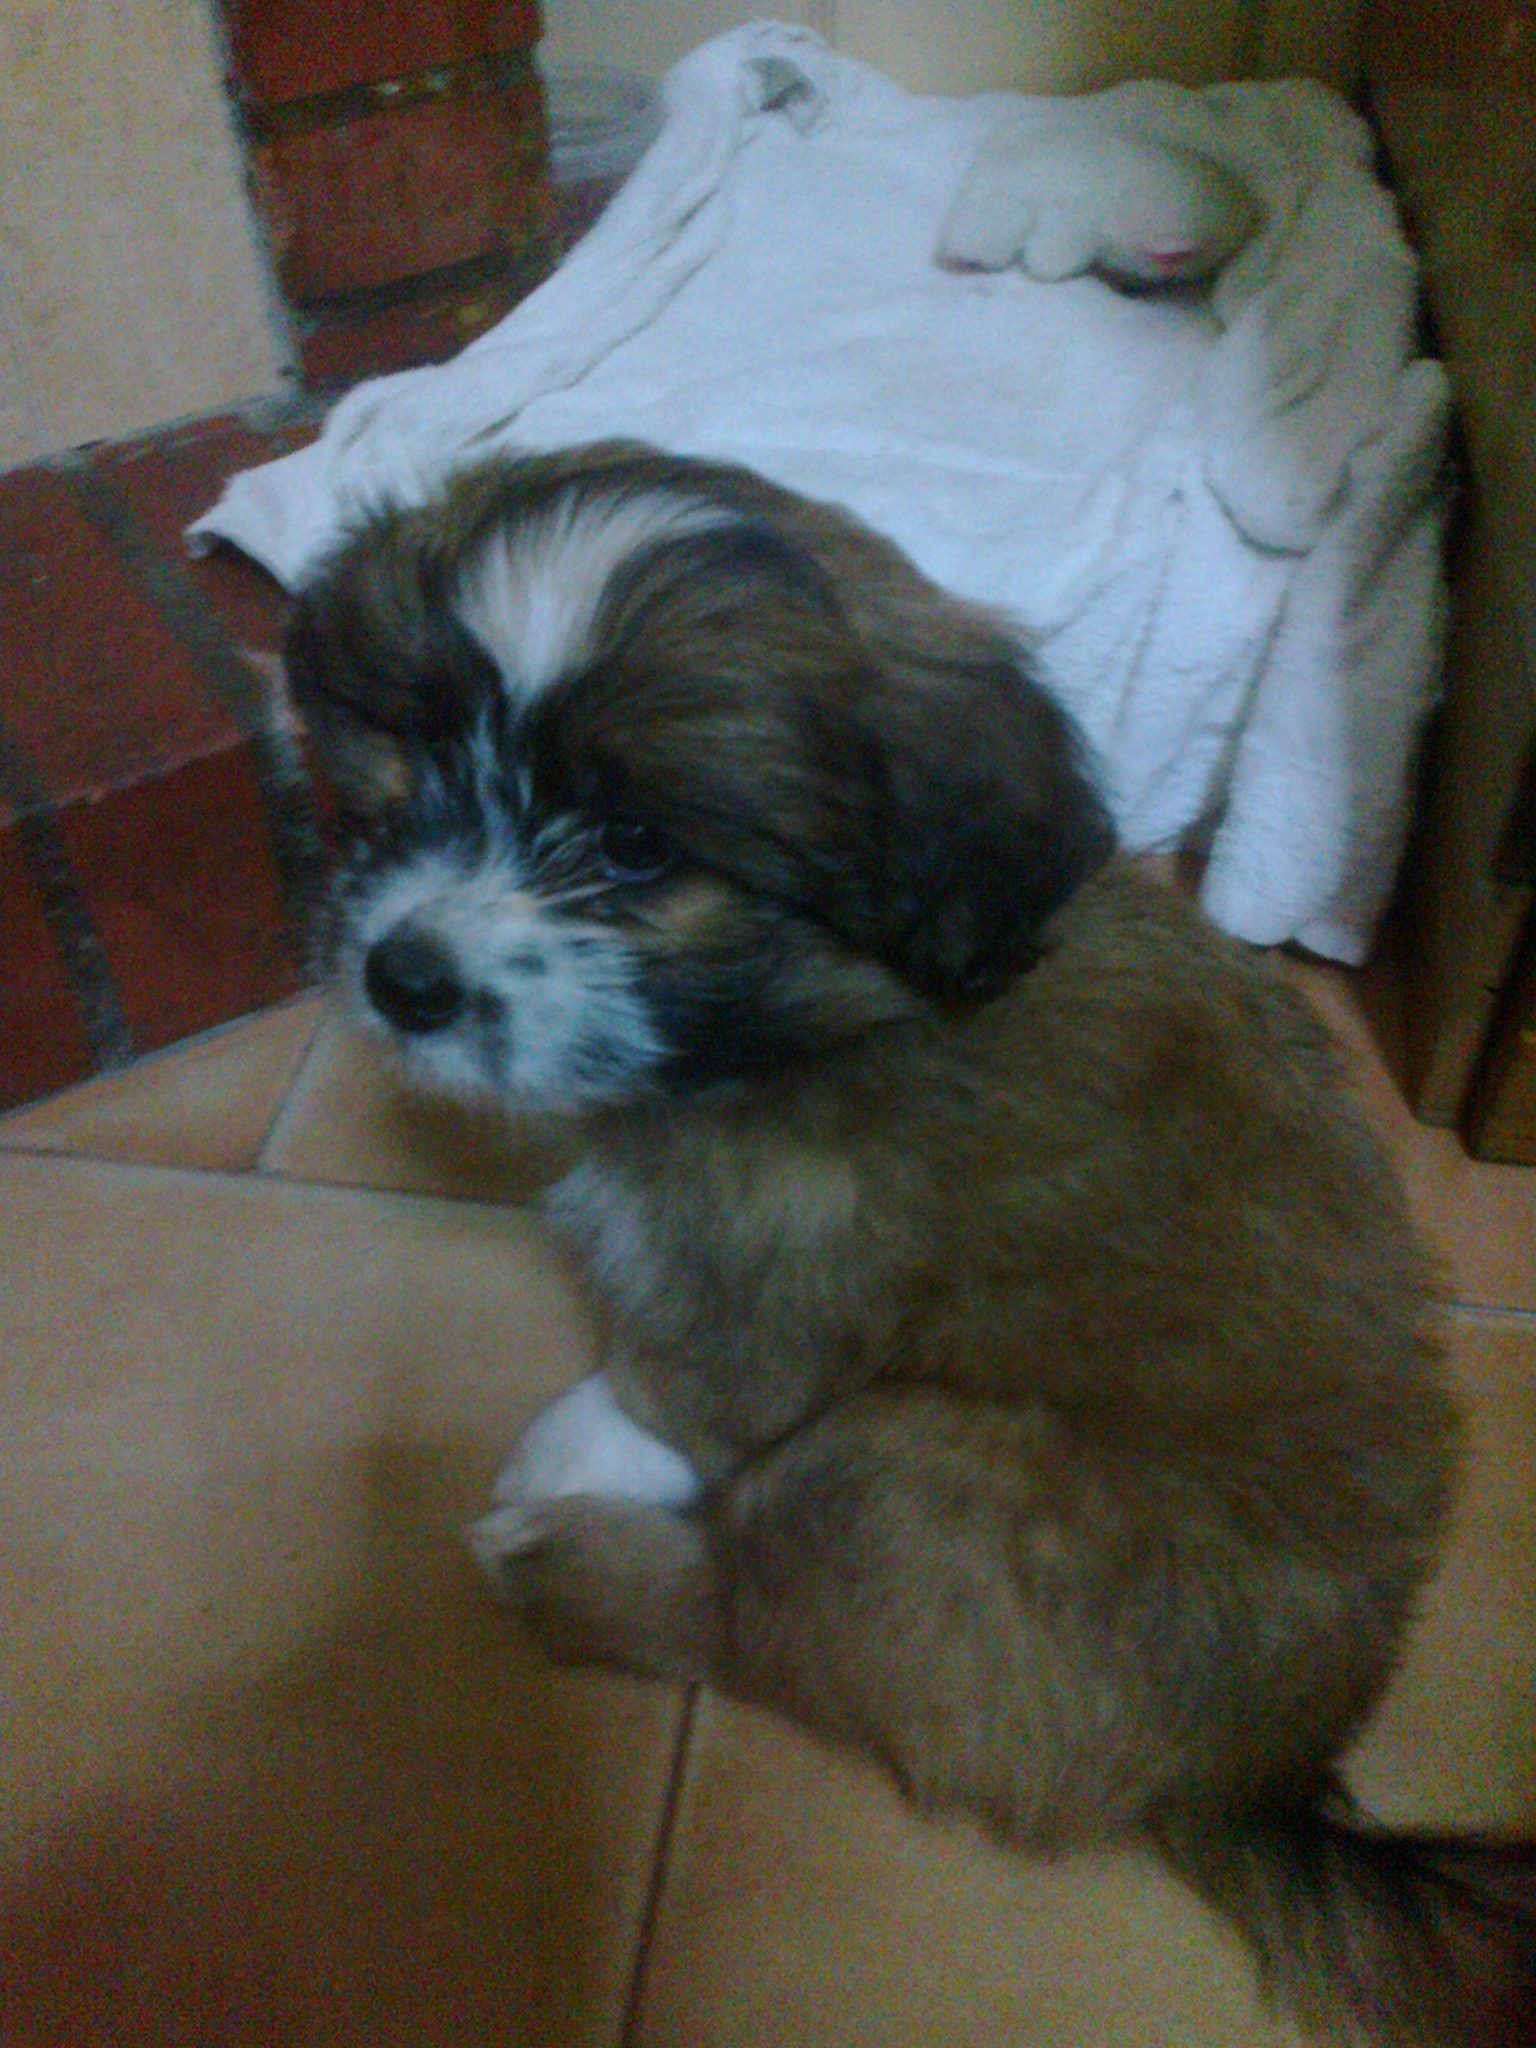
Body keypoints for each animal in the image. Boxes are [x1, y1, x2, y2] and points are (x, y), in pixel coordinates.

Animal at [286, 441, 1534, 2046]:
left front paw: (578, 1447)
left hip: (901, 1467)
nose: (404, 979)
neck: (832, 1004)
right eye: (424, 754)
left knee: (750, 1618)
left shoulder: (782, 1254)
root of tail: (1264, 1772)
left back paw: (561, 1564)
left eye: (634, 846)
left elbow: (680, 1379)